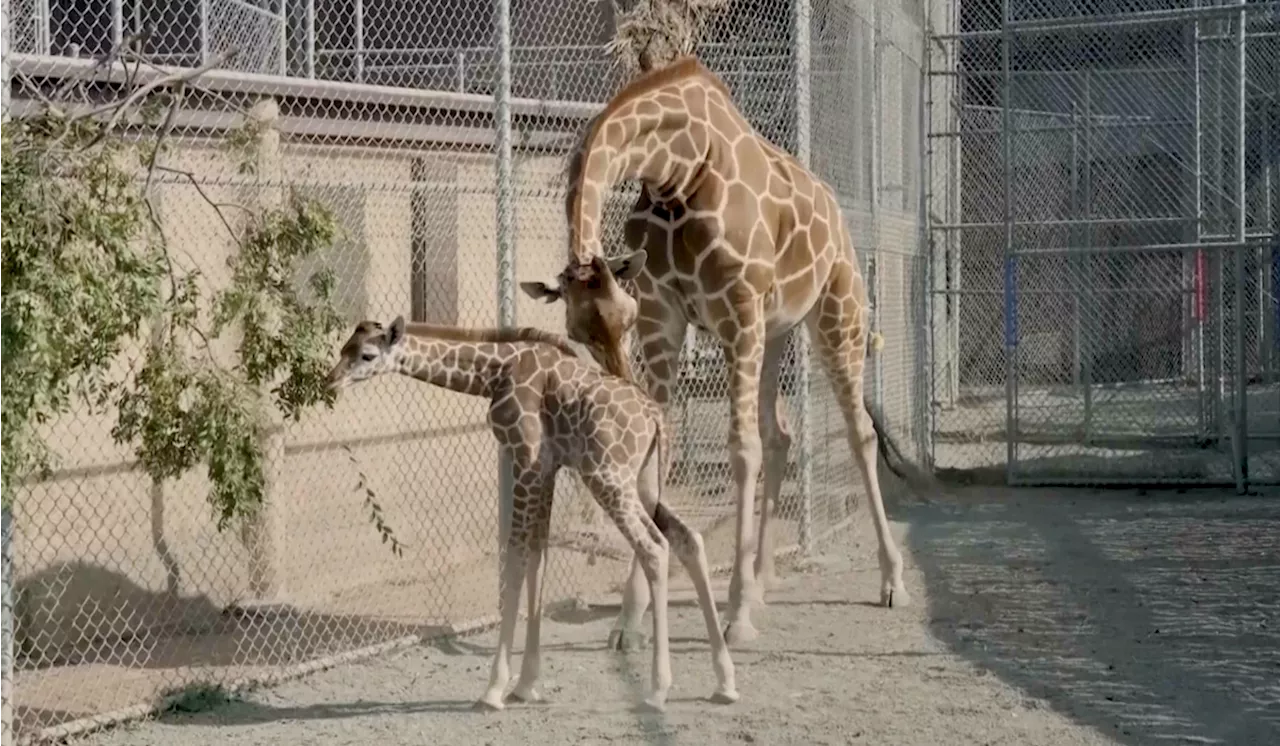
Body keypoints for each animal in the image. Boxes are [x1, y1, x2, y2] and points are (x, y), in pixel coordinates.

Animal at [322, 317, 742, 711]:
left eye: (367, 355)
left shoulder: (525, 458)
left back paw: (657, 690)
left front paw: (494, 689)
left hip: (607, 477)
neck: (494, 372)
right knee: (689, 538)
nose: (331, 382)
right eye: (344, 347)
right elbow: (538, 557)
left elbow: (516, 557)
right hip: (644, 483)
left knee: (653, 547)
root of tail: (655, 419)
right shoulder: (548, 467)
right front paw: (527, 685)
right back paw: (724, 682)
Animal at [519, 56, 911, 647]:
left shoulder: (736, 310)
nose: (619, 382)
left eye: (624, 318)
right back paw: (764, 578)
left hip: (834, 308)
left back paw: (890, 582)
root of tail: (833, 205)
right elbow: (658, 460)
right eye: (579, 334)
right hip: (775, 333)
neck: (675, 173)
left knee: (857, 431)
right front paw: (630, 618)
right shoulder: (666, 316)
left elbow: (741, 450)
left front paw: (737, 615)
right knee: (781, 434)